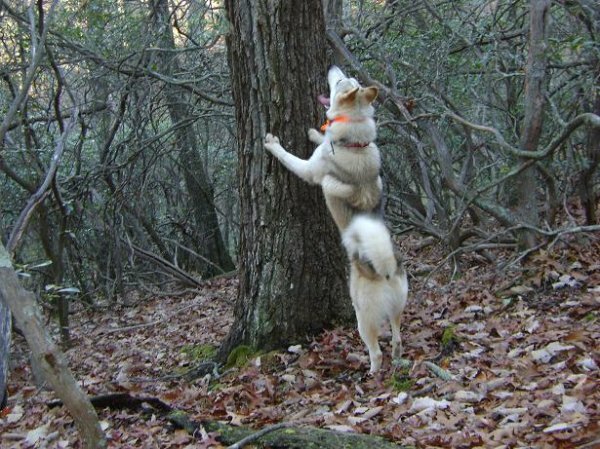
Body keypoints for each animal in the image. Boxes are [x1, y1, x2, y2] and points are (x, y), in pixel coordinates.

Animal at [264, 66, 382, 231]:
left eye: (339, 81)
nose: (332, 66)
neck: (353, 144)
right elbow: (325, 139)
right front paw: (315, 134)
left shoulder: (308, 170)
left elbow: (287, 157)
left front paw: (273, 145)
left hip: (330, 184)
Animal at [342, 214, 408, 372]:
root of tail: (385, 271)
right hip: (396, 309)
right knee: (397, 339)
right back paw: (396, 356)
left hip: (364, 323)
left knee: (377, 354)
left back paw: (373, 373)